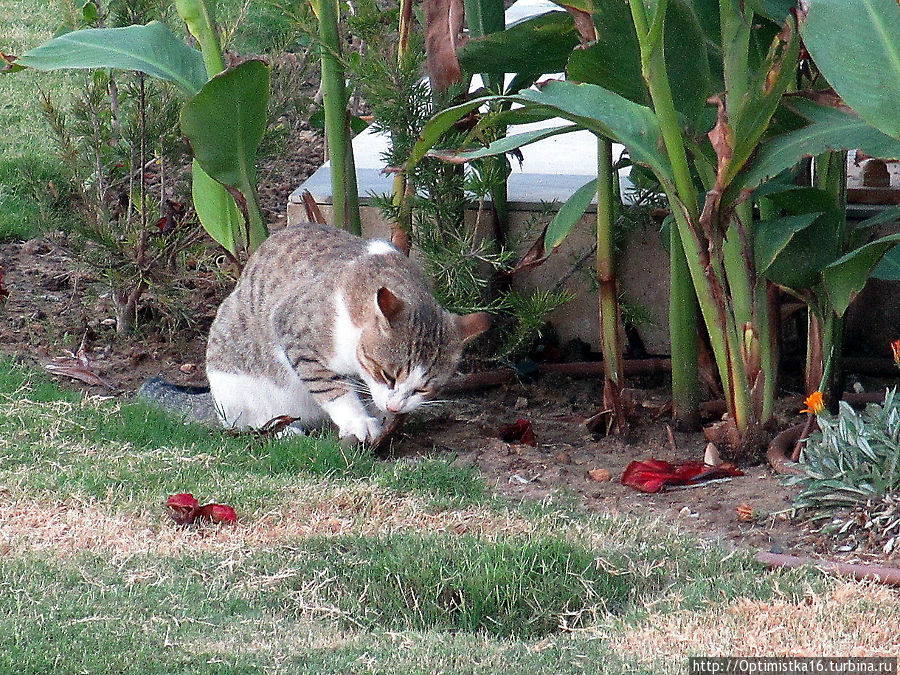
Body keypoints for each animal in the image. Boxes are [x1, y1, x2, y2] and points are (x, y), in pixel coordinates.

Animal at [205, 224, 488, 440]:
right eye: (387, 375)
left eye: (423, 389)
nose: (395, 406)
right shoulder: (294, 331)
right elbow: (329, 386)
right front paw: (358, 421)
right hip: (233, 385)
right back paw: (282, 429)